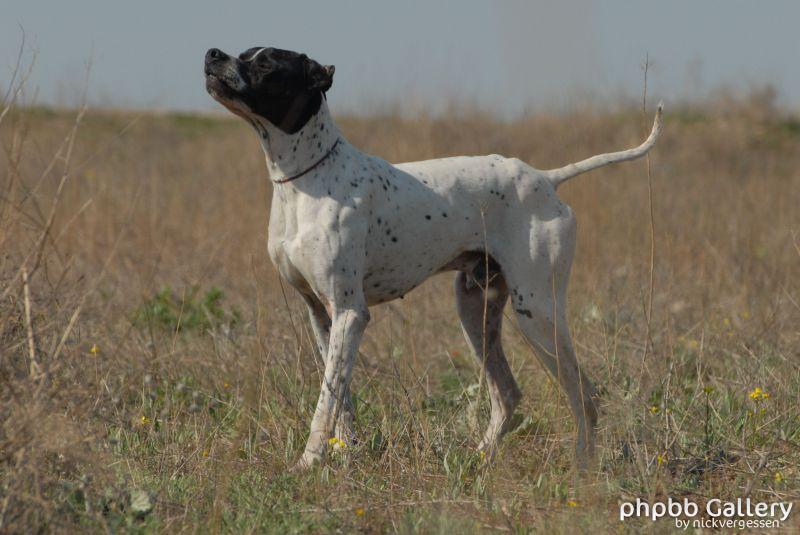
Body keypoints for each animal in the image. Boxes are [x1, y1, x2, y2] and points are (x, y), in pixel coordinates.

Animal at [205, 47, 664, 474]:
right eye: (243, 53)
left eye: (267, 64)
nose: (212, 54)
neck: (305, 180)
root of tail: (546, 179)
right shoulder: (322, 315)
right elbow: (340, 397)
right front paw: (344, 455)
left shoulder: (350, 313)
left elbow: (325, 402)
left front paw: (308, 461)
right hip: (476, 311)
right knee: (508, 394)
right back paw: (479, 459)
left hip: (538, 313)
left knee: (583, 393)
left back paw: (583, 465)